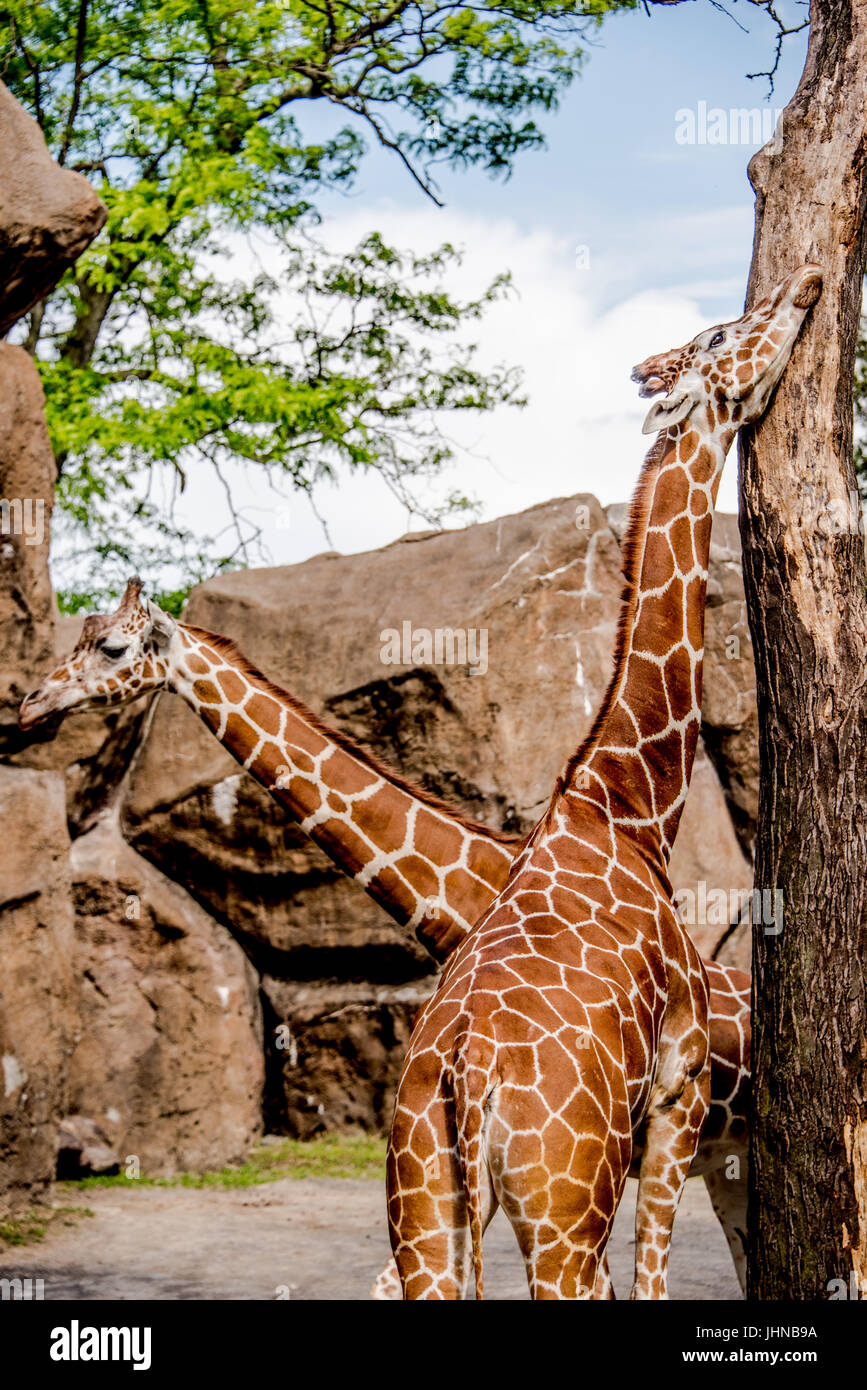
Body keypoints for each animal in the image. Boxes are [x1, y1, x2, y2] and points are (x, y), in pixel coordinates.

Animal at [383, 262, 816, 1301]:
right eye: (718, 336)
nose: (805, 284)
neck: (627, 803)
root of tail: (466, 1080)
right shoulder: (678, 1085)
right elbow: (655, 1278)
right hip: (561, 1210)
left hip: (427, 1214)